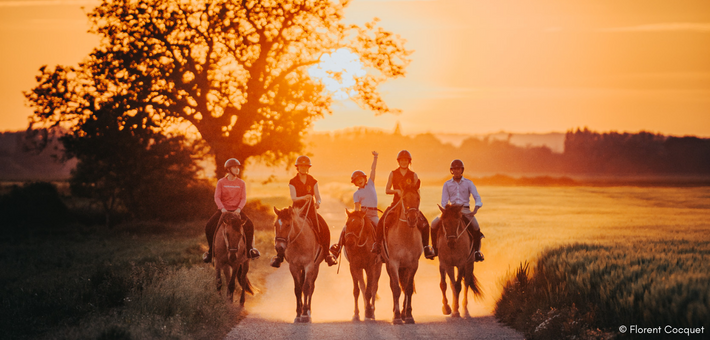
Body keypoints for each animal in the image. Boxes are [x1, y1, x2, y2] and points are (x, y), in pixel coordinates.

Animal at [384, 178, 428, 324]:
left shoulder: (413, 264)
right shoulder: (393, 263)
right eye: (403, 198)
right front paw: (396, 317)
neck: (405, 235)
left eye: (418, 198)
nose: (413, 219)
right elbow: (396, 288)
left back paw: (403, 313)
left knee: (404, 285)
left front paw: (408, 315)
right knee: (394, 286)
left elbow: (408, 289)